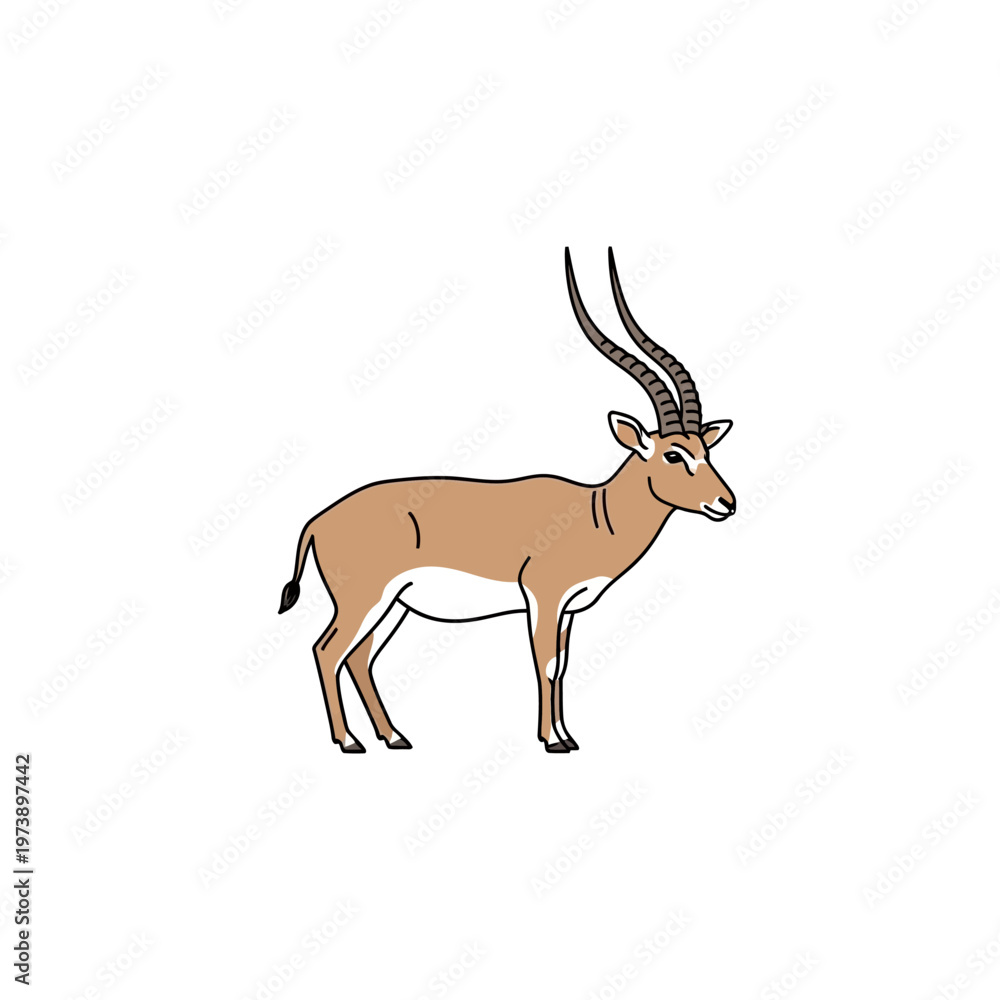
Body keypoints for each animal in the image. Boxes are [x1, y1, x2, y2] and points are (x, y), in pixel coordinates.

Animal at [279, 248, 736, 753]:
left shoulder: (567, 610)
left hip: (393, 605)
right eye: (673, 454)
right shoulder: (544, 597)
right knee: (327, 650)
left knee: (360, 657)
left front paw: (566, 735)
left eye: (706, 449)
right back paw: (349, 742)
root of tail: (318, 519)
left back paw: (394, 737)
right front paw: (553, 740)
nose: (726, 503)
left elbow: (563, 665)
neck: (595, 514)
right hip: (365, 601)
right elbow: (546, 664)